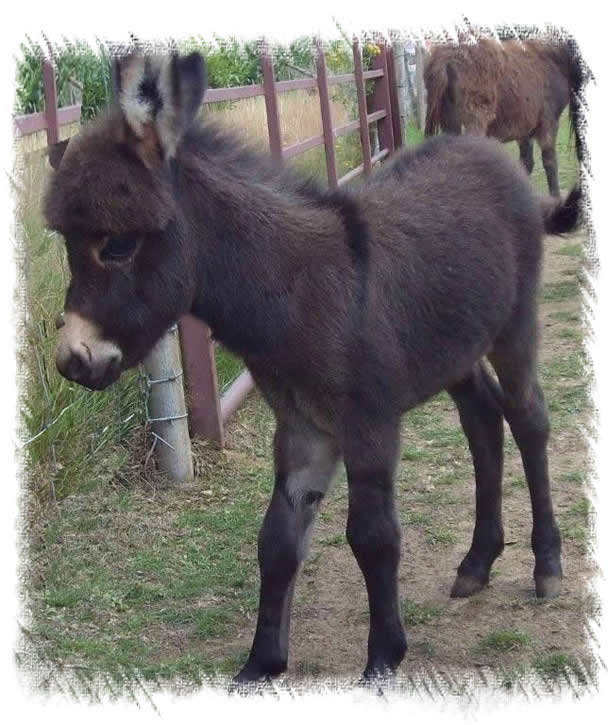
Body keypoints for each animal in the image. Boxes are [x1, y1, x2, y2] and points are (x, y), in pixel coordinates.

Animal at [44, 50, 580, 683]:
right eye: (68, 245)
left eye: (119, 246)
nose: (73, 361)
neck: (297, 292)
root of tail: (487, 152)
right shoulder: (302, 428)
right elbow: (276, 540)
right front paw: (260, 664)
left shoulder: (368, 425)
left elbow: (373, 537)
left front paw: (382, 659)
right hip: (453, 350)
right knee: (482, 420)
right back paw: (476, 563)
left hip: (513, 326)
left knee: (528, 419)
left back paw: (547, 565)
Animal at [423, 38, 585, 197]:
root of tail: (446, 57)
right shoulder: (548, 122)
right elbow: (550, 164)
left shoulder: (525, 128)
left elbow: (526, 164)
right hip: (474, 122)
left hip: (450, 123)